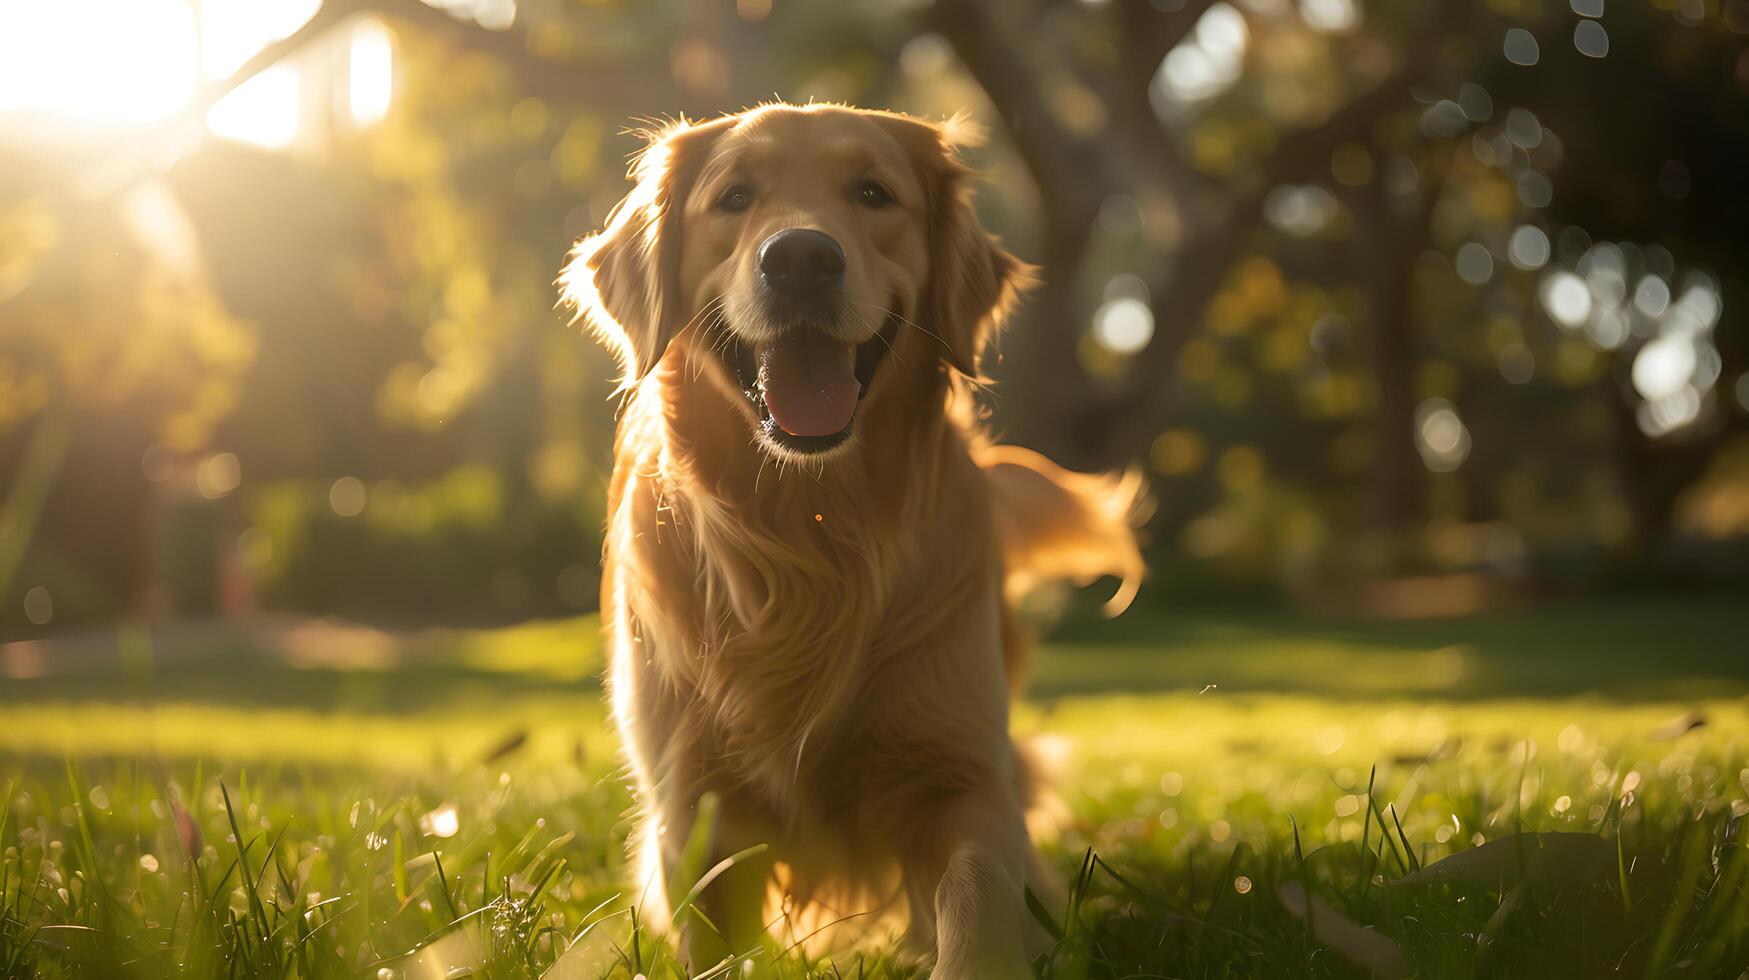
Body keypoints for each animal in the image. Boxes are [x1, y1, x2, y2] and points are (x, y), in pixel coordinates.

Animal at [559, 103, 1147, 973]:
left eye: (873, 192)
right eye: (734, 197)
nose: (801, 258)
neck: (809, 534)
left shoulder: (962, 772)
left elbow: (976, 896)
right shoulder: (692, 804)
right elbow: (715, 939)